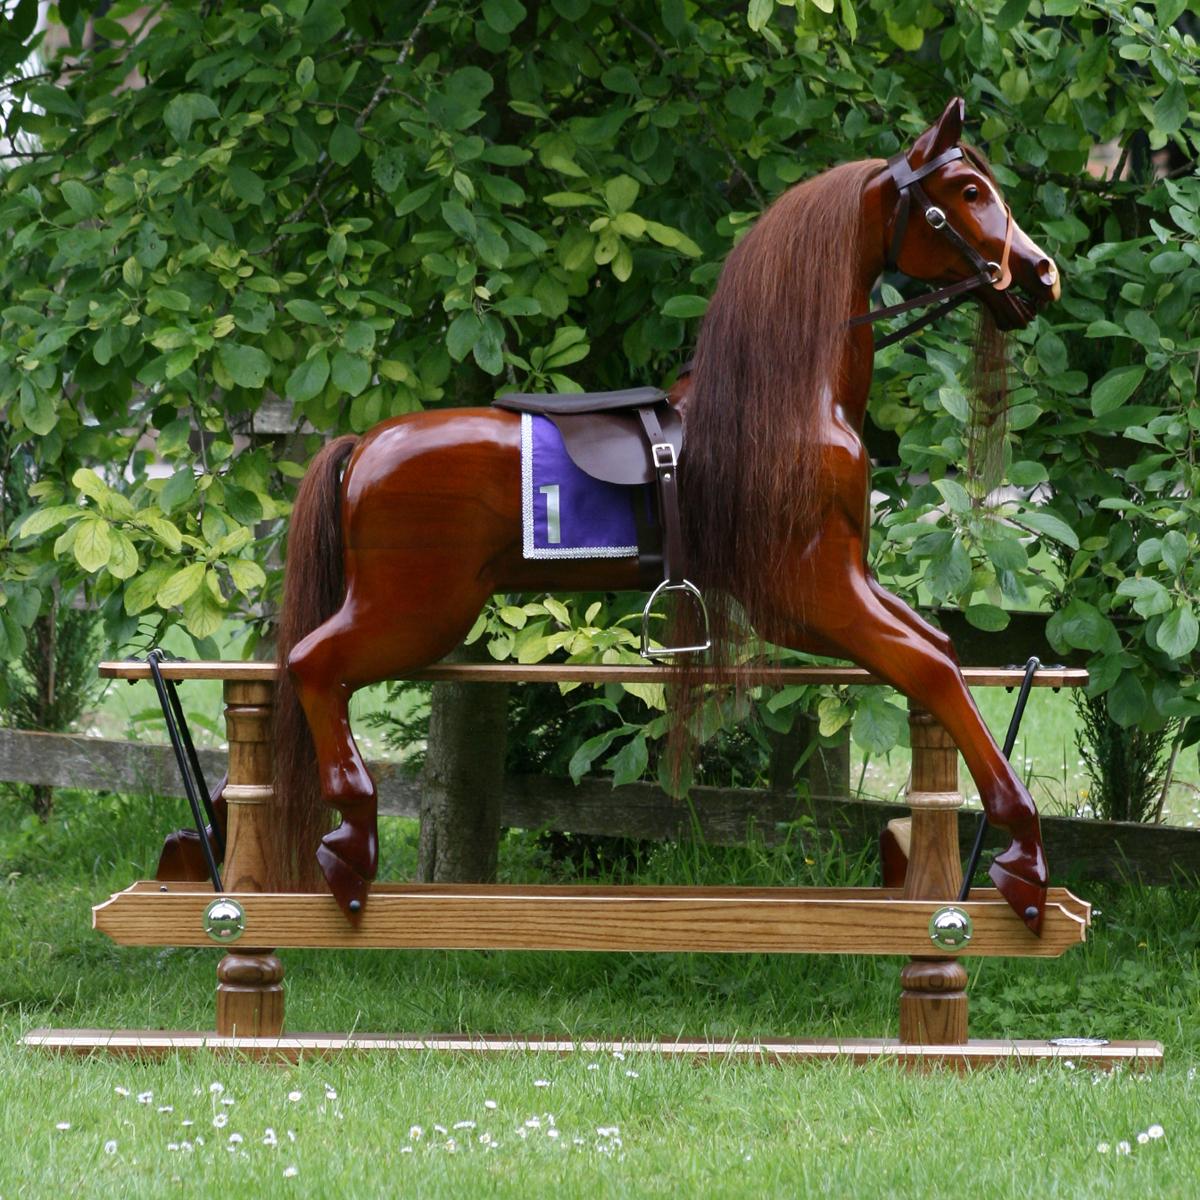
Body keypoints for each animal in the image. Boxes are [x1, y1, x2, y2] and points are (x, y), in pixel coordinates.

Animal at [269, 97, 1063, 933]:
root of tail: (364, 446)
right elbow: (932, 665)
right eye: (969, 191)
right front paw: (1023, 850)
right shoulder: (808, 593)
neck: (788, 405)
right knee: (312, 663)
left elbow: (935, 646)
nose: (1041, 273)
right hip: (413, 611)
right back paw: (351, 838)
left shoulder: (835, 583)